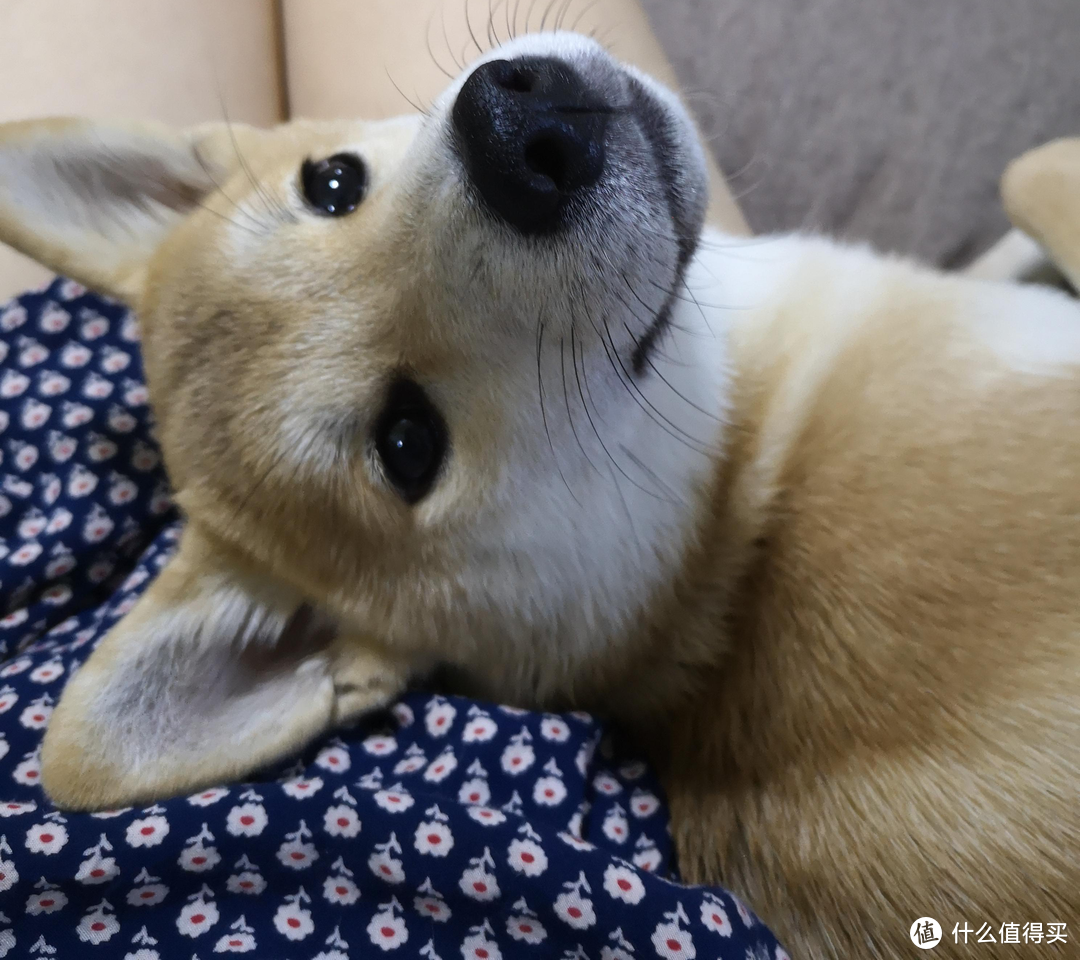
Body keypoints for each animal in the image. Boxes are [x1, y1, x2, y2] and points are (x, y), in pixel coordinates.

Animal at [2, 29, 1080, 958]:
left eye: (333, 182)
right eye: (408, 444)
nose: (516, 135)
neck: (739, 507)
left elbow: (1012, 202)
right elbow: (1037, 168)